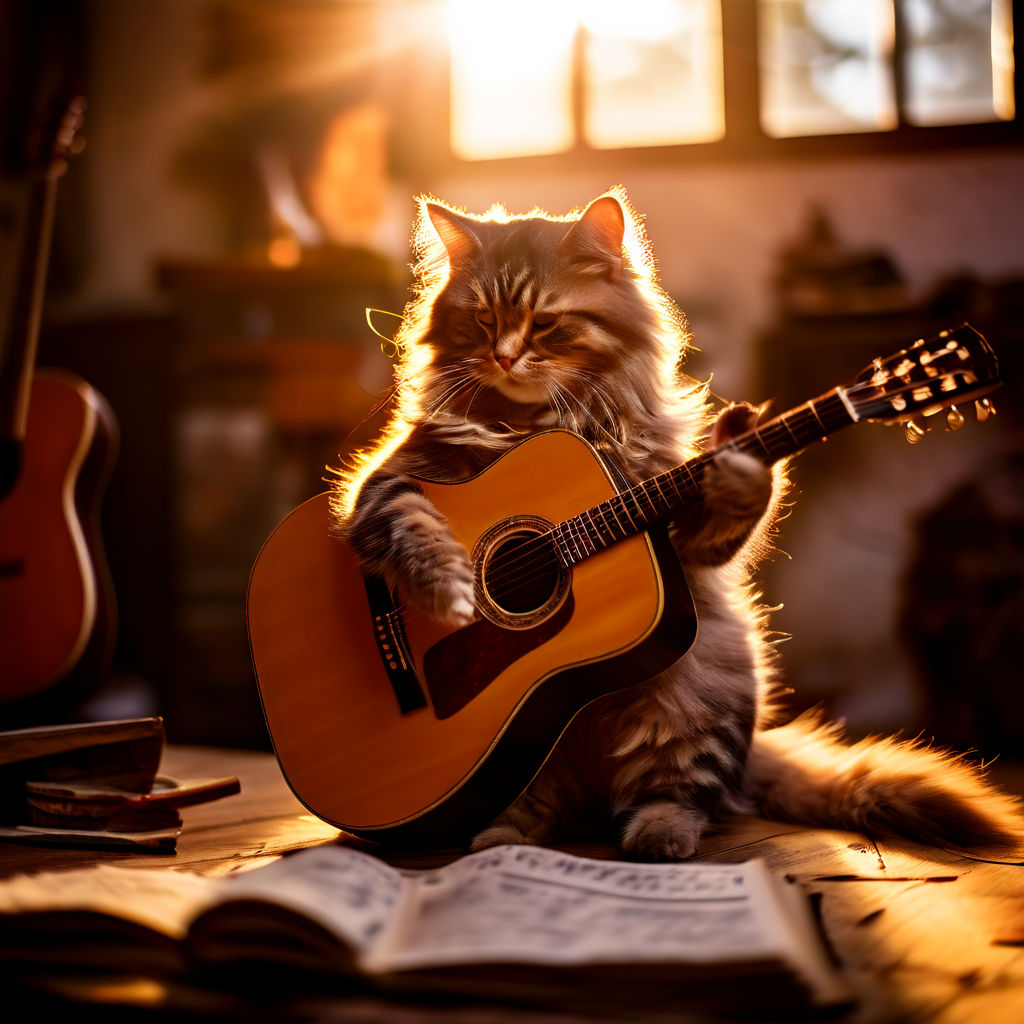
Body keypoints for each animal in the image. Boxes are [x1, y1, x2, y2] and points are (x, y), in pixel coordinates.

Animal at [331, 190, 1019, 856]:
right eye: (482, 320)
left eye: (545, 324)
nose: (501, 358)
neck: (538, 426)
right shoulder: (383, 484)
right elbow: (409, 529)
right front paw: (446, 590)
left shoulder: (681, 545)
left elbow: (733, 509)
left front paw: (743, 461)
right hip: (534, 759)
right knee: (540, 807)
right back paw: (501, 839)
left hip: (705, 680)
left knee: (680, 796)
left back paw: (658, 836)